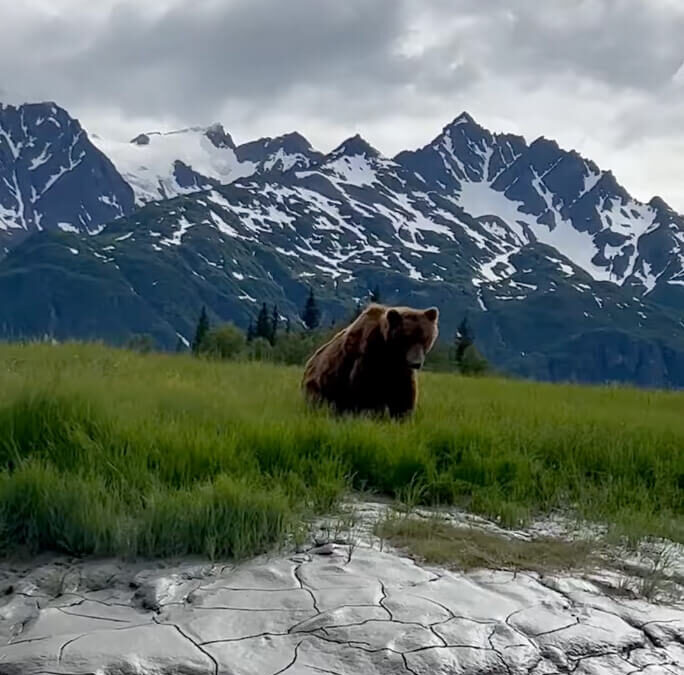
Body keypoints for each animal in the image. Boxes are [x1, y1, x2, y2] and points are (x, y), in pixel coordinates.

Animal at [302, 303, 439, 418]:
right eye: (407, 338)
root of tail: (308, 363)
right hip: (322, 385)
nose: (416, 363)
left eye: (424, 338)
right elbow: (366, 391)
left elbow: (404, 392)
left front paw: (402, 417)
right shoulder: (367, 357)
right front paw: (371, 415)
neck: (389, 352)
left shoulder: (401, 368)